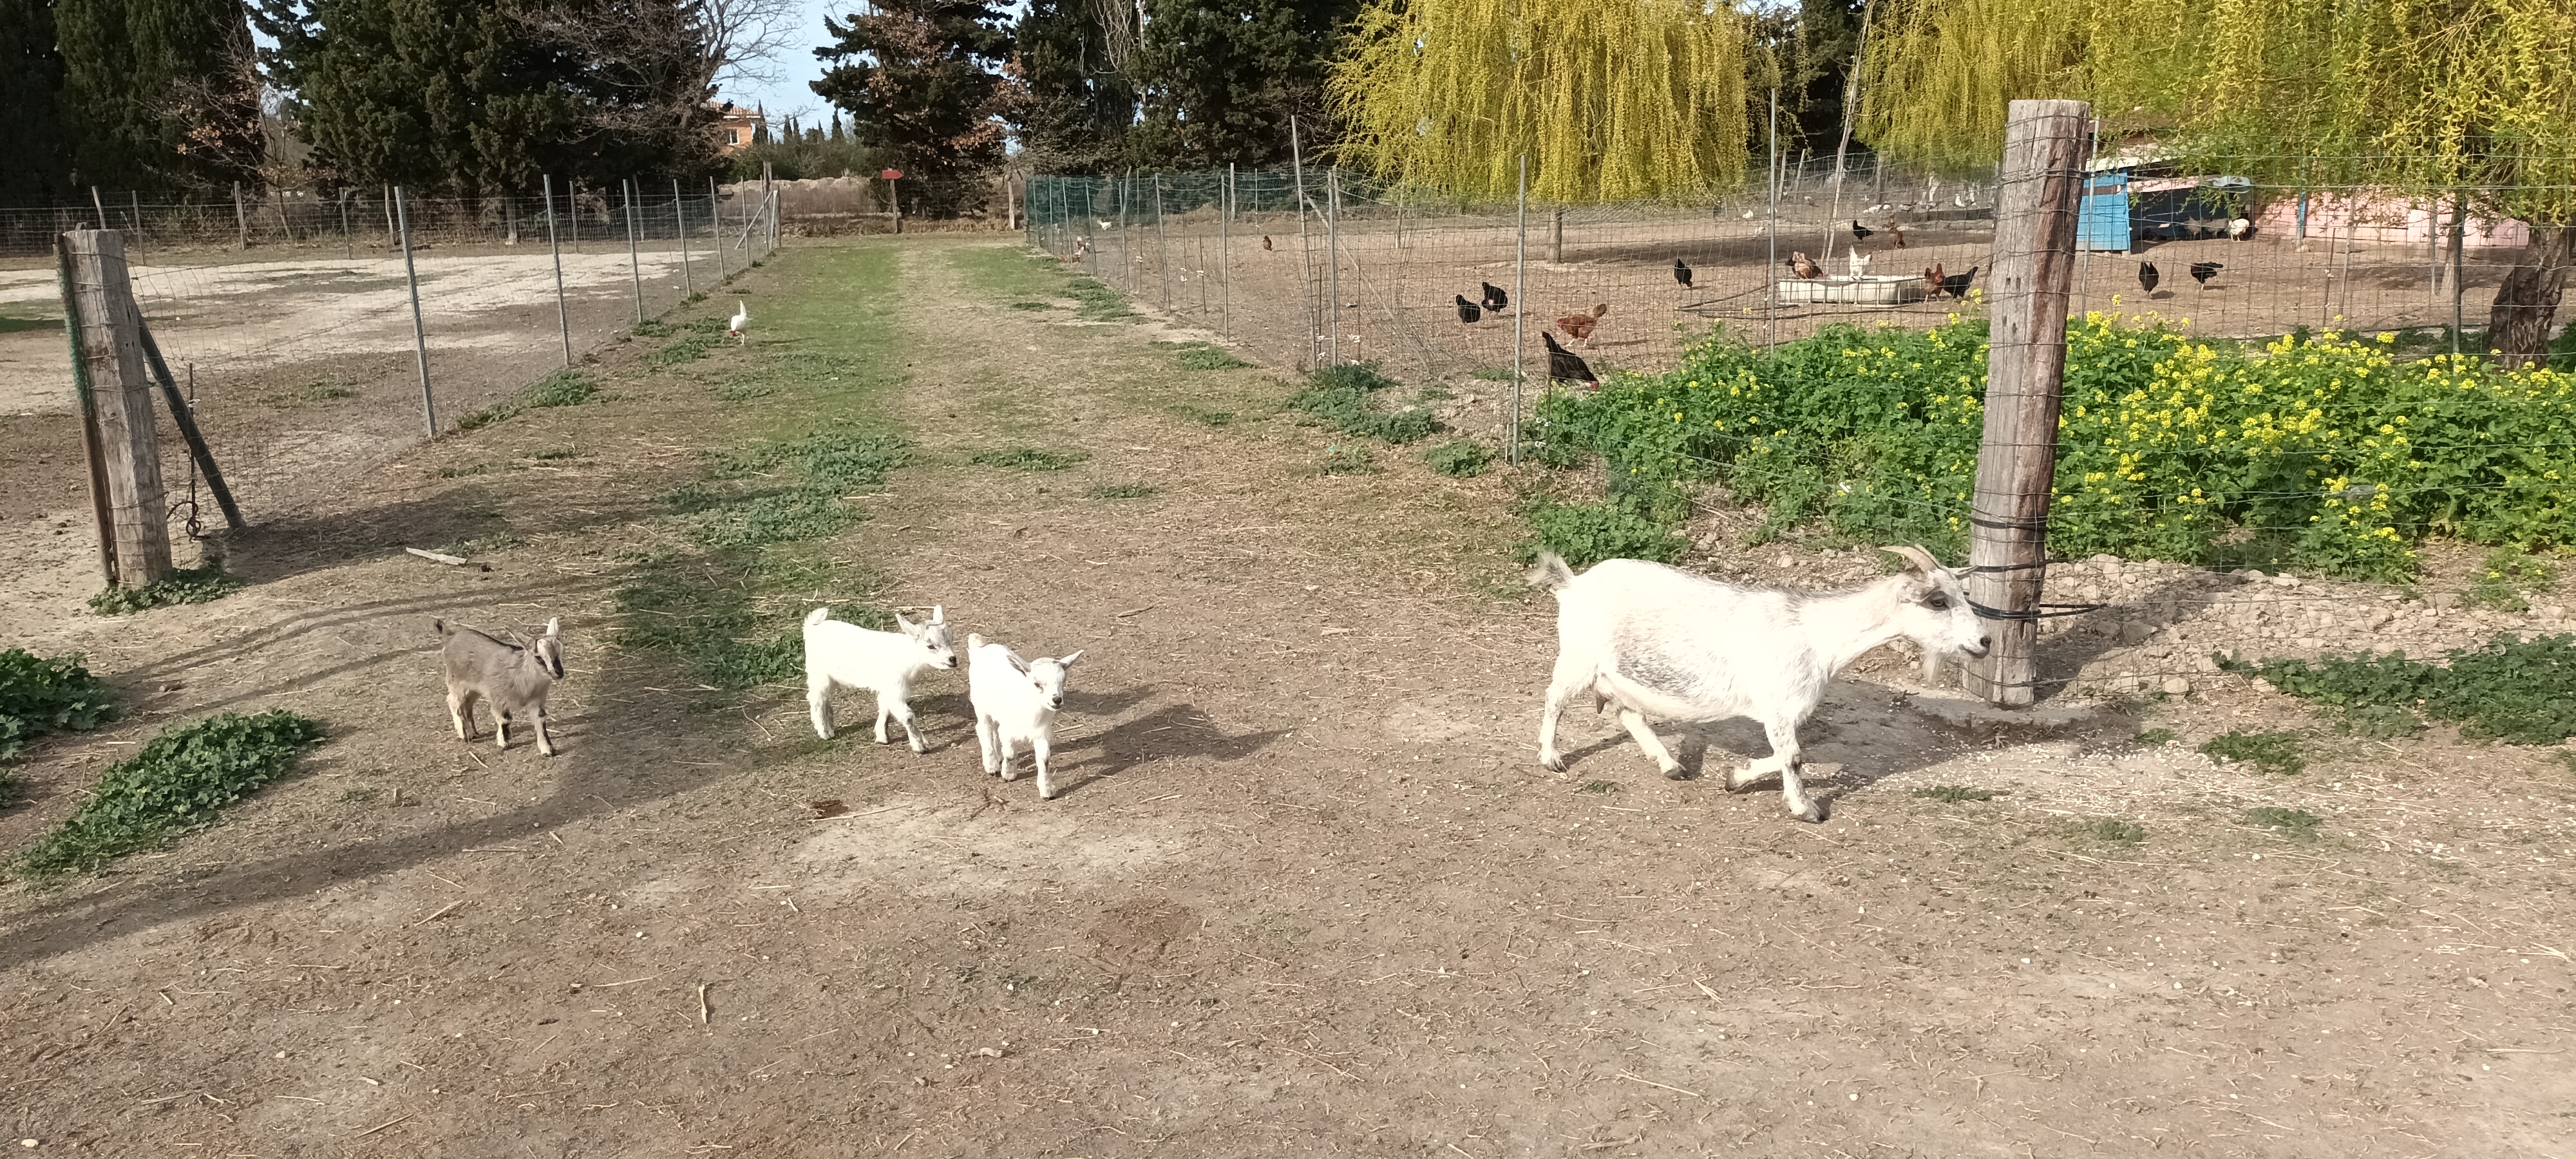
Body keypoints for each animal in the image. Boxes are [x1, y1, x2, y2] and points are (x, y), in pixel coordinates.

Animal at [435, 616, 566, 756]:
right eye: (538, 657)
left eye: (560, 652)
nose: (559, 672)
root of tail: (450, 636)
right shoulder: (499, 698)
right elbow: (505, 719)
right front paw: (505, 743)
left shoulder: (537, 700)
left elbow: (541, 719)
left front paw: (547, 749)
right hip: (457, 683)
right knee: (454, 701)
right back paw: (465, 734)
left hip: (473, 688)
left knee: (467, 703)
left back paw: (474, 732)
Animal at [804, 605, 956, 751]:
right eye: (930, 646)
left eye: (951, 639)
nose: (953, 659)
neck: (906, 656)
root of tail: (812, 628)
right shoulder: (894, 687)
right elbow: (907, 716)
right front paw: (921, 746)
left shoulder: (887, 688)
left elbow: (885, 709)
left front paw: (882, 737)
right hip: (818, 672)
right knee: (815, 697)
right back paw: (825, 732)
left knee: (824, 697)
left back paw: (830, 724)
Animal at [965, 633, 1085, 800]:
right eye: (1037, 684)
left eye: (1063, 681)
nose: (1057, 700)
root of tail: (981, 648)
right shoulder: (1008, 729)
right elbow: (1010, 753)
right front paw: (1008, 774)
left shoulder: (1042, 732)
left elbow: (1044, 759)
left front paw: (1047, 790)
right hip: (980, 705)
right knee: (984, 729)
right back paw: (992, 764)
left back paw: (997, 757)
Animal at [1529, 546, 1990, 823]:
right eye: (1938, 601)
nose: (1985, 642)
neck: (1817, 636)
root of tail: (1573, 584)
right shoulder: (1780, 706)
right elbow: (1794, 757)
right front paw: (1805, 808)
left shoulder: (1786, 710)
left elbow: (1787, 755)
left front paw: (1736, 776)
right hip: (1580, 658)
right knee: (1554, 699)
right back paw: (1552, 758)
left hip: (1622, 673)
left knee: (1630, 715)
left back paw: (1671, 765)